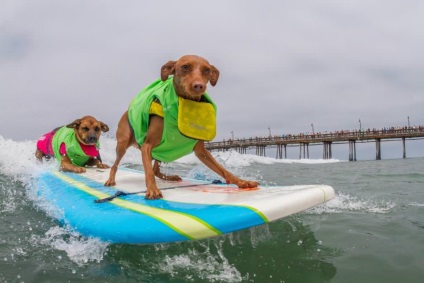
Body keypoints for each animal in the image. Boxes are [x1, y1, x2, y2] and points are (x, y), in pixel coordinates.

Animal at [105, 54, 258, 199]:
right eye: (185, 67)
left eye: (207, 70)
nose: (199, 85)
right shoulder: (147, 146)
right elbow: (148, 172)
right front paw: (152, 189)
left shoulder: (201, 150)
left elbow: (222, 169)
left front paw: (242, 182)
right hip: (123, 143)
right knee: (115, 165)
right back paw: (111, 180)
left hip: (160, 151)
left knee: (155, 170)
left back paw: (170, 177)